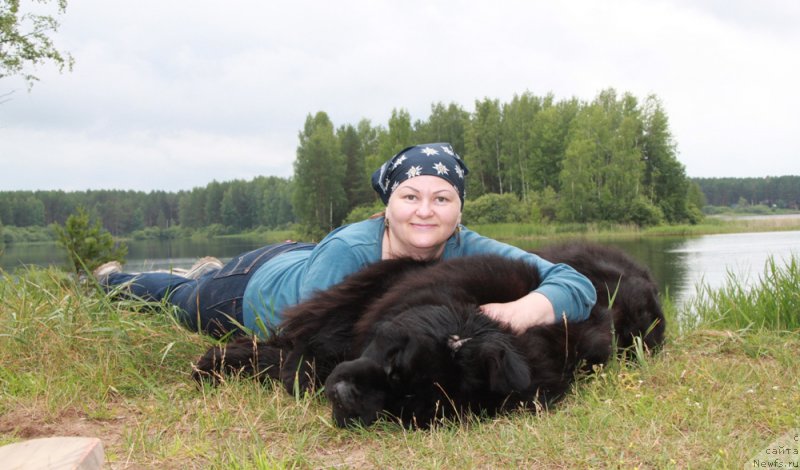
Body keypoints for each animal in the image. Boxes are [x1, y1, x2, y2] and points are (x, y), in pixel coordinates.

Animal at [192, 244, 664, 428]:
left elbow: (293, 366)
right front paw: (216, 364)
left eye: (401, 407)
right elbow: (290, 352)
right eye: (392, 359)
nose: (345, 396)